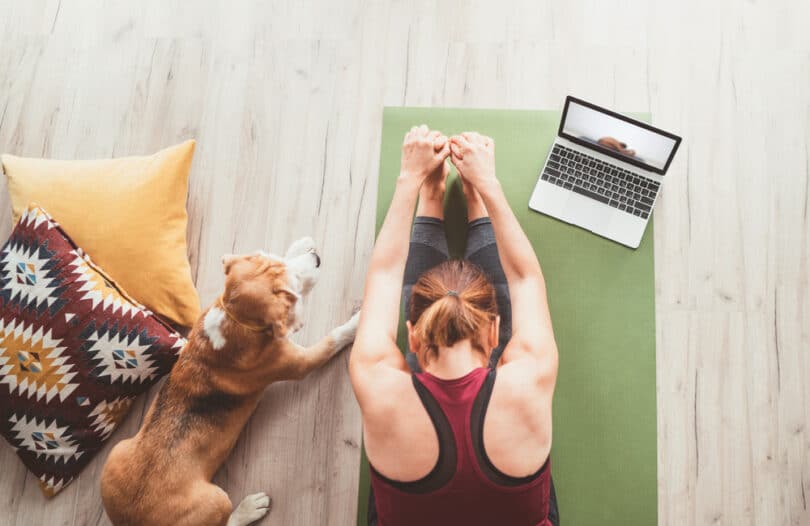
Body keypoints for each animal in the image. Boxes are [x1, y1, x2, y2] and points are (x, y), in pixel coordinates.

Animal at [98, 240, 356, 526]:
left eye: (275, 260)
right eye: (291, 288)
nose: (316, 257)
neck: (233, 316)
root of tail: (130, 519)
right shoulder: (302, 362)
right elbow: (334, 338)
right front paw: (357, 323)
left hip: (116, 453)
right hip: (217, 500)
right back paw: (250, 507)